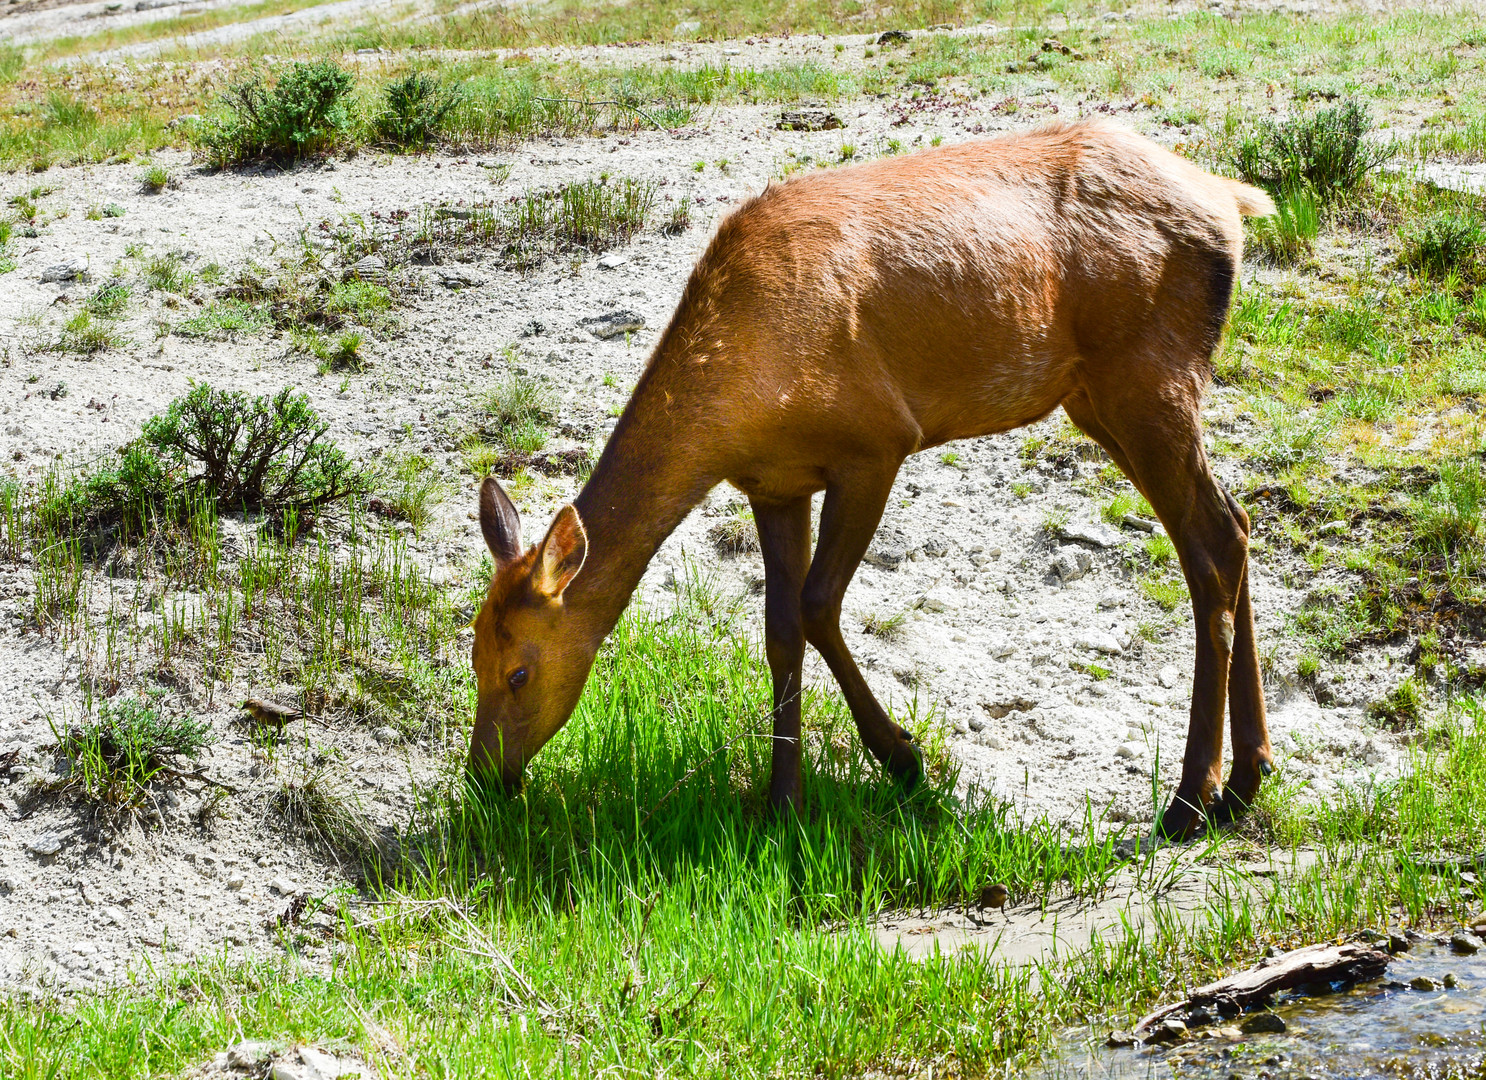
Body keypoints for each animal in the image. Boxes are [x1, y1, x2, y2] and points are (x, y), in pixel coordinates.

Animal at [472, 120, 1277, 843]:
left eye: (519, 672)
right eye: (472, 652)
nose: (483, 777)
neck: (742, 403)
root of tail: (1231, 200)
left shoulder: (877, 442)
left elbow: (818, 604)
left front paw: (903, 759)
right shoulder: (775, 483)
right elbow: (780, 630)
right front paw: (782, 804)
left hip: (1148, 378)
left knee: (1210, 546)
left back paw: (1190, 799)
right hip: (1101, 397)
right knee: (1232, 527)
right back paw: (1246, 779)